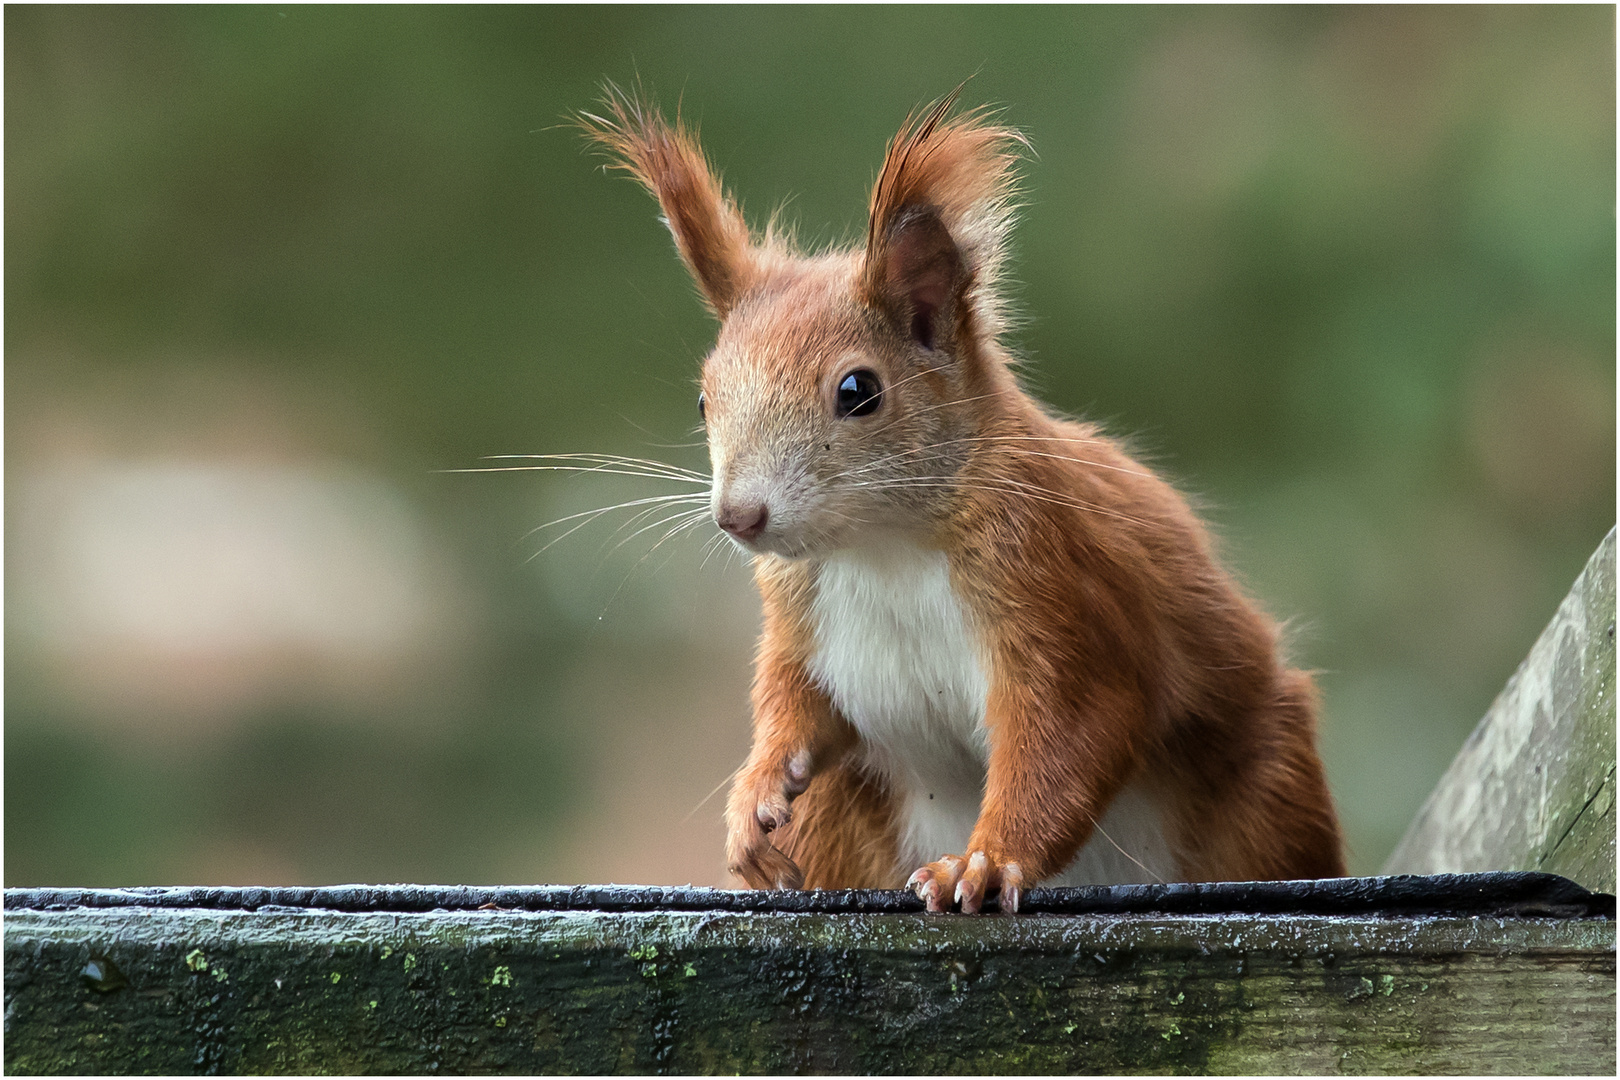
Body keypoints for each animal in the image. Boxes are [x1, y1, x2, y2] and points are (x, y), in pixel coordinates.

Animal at [583, 88, 1341, 913]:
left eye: (858, 391)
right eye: (703, 398)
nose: (738, 517)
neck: (884, 546)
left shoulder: (1054, 581)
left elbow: (1074, 731)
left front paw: (983, 864)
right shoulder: (799, 617)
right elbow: (795, 705)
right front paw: (751, 798)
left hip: (1266, 795)